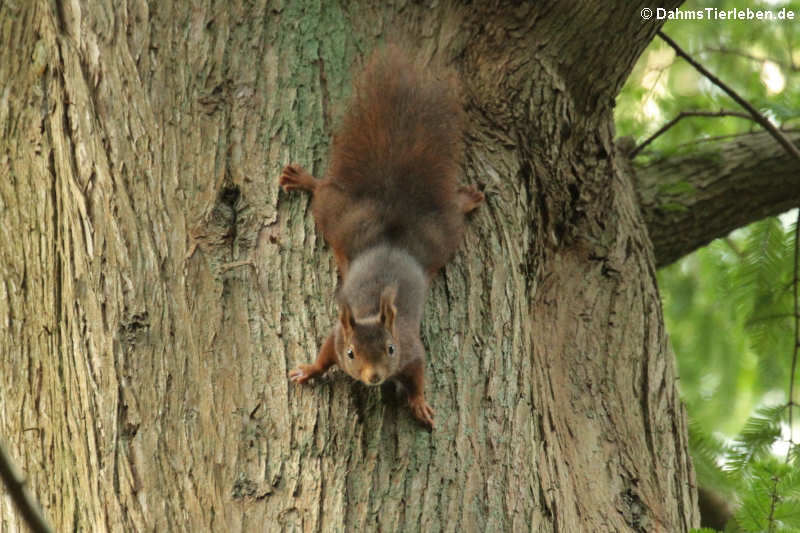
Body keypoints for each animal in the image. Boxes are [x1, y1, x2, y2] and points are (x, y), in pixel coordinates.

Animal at [278, 46, 484, 428]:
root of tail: (391, 229)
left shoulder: (410, 348)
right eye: (351, 352)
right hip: (342, 221)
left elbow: (418, 376)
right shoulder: (337, 333)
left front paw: (419, 403)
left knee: (450, 216)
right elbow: (323, 355)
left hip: (438, 237)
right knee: (324, 193)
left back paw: (466, 199)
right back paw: (304, 179)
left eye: (390, 349)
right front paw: (309, 370)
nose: (374, 377)